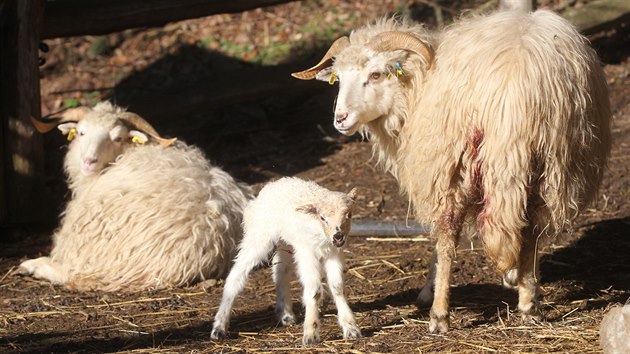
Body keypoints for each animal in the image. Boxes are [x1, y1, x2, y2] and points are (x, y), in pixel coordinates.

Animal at [19, 101, 252, 290]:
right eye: (81, 133)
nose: (88, 161)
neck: (130, 151)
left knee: (72, 272)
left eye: (117, 137)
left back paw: (32, 266)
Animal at [211, 178, 362, 344]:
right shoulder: (306, 251)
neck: (321, 233)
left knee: (280, 271)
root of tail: (271, 185)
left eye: (349, 215)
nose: (338, 236)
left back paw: (285, 315)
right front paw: (311, 334)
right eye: (322, 218)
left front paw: (351, 328)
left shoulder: (334, 253)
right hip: (259, 235)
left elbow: (338, 287)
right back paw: (219, 328)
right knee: (236, 274)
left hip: (285, 241)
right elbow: (314, 290)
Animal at [294, 9, 616, 334]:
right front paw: (519, 280)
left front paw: (430, 291)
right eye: (338, 79)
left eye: (376, 74)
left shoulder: (435, 169)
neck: (414, 90)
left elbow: (440, 243)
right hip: (555, 163)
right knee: (531, 230)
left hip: (459, 162)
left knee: (450, 237)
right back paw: (528, 304)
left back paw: (439, 315)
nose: (340, 119)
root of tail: (520, 86)